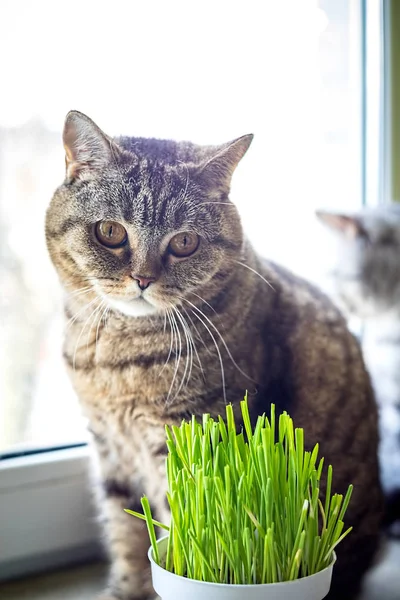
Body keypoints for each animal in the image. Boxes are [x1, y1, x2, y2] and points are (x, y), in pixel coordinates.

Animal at [45, 110, 382, 596]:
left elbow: (177, 525)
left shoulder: (190, 438)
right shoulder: (110, 446)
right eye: (110, 232)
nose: (143, 278)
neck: (115, 358)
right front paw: (125, 589)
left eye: (184, 242)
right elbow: (125, 533)